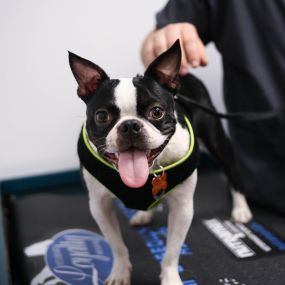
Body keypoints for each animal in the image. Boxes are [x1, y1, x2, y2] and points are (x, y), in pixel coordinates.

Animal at [68, 40, 251, 284]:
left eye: (156, 112)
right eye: (101, 116)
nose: (130, 126)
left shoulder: (183, 208)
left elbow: (172, 251)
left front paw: (171, 278)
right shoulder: (99, 205)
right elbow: (116, 245)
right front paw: (119, 273)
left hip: (217, 141)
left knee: (232, 171)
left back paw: (241, 209)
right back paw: (144, 214)